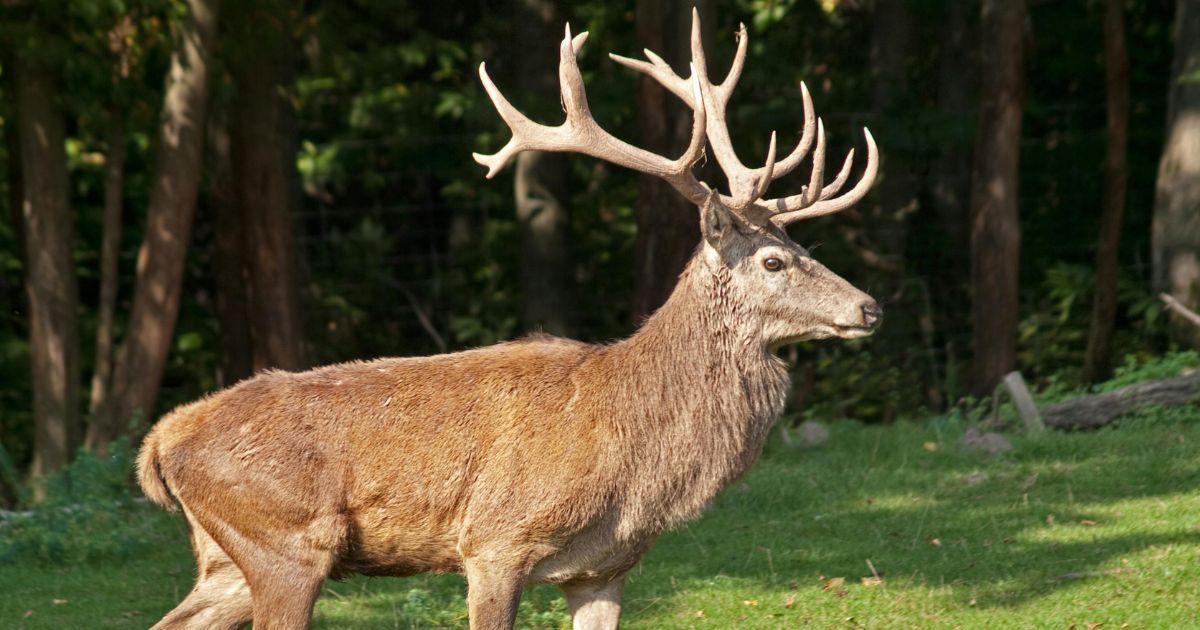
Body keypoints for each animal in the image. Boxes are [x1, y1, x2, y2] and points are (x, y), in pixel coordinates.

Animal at [137, 9, 881, 630]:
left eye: (806, 249)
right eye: (773, 261)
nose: (869, 307)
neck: (633, 452)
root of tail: (161, 440)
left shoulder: (603, 570)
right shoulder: (494, 542)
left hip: (227, 563)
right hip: (287, 544)